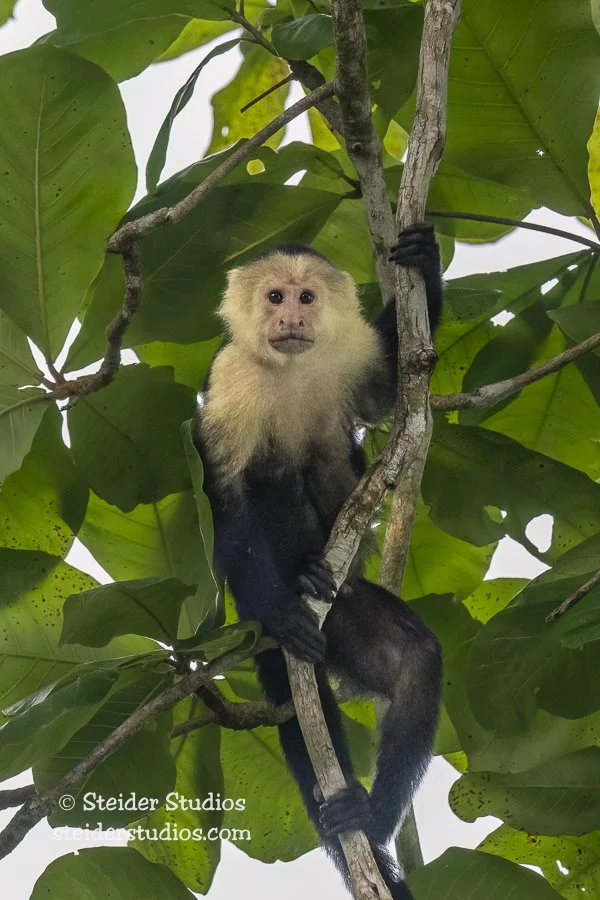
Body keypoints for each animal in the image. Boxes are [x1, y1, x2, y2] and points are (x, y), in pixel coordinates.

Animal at [194, 224, 443, 900]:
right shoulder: (230, 379)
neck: (291, 369)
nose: (290, 318)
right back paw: (298, 580)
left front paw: (425, 259)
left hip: (349, 615)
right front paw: (281, 609)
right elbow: (225, 494)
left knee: (415, 657)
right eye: (275, 295)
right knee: (276, 475)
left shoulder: (348, 352)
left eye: (307, 297)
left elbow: (388, 394)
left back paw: (372, 817)